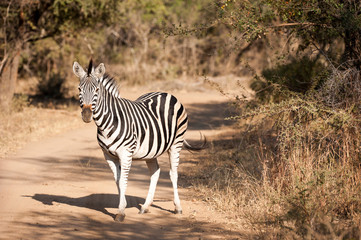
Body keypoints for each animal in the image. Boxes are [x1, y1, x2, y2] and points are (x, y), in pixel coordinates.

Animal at [72, 59, 202, 221]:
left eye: (96, 90)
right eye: (79, 89)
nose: (86, 115)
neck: (107, 123)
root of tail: (166, 93)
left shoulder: (125, 153)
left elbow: (122, 181)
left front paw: (120, 212)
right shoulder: (108, 155)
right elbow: (118, 181)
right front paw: (122, 206)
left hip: (176, 143)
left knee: (173, 174)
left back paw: (177, 208)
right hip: (152, 150)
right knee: (155, 172)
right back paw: (145, 206)